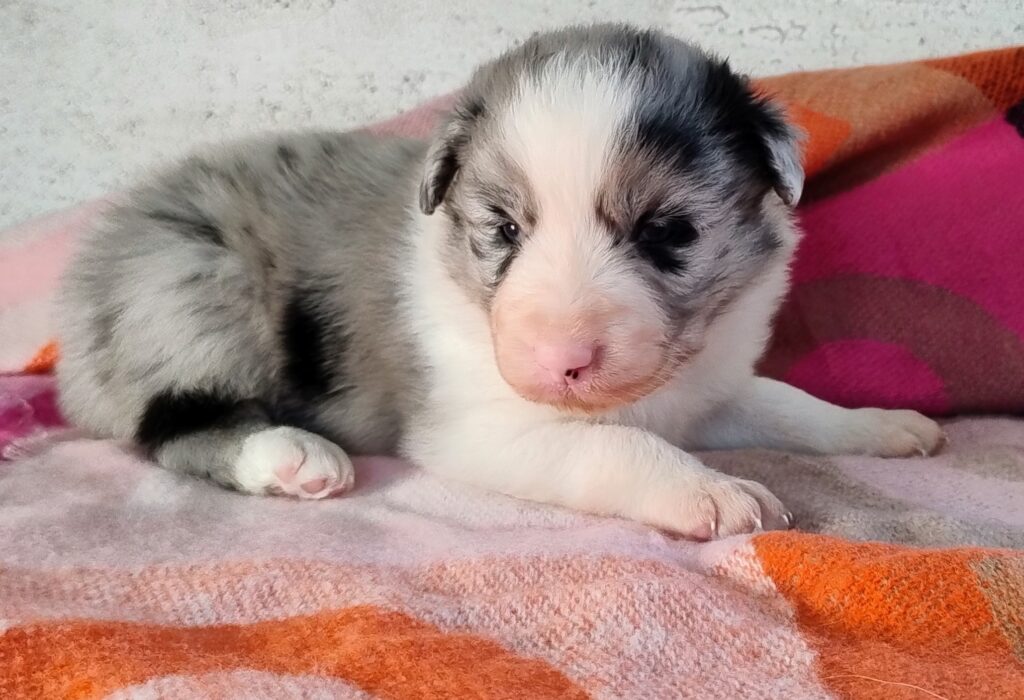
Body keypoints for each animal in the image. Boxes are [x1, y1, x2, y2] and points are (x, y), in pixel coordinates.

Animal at [56, 21, 937, 536]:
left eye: (668, 233)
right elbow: (613, 446)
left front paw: (881, 425)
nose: (561, 363)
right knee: (170, 425)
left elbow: (786, 403)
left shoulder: (707, 388)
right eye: (504, 230)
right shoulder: (479, 427)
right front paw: (710, 491)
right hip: (191, 286)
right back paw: (290, 454)